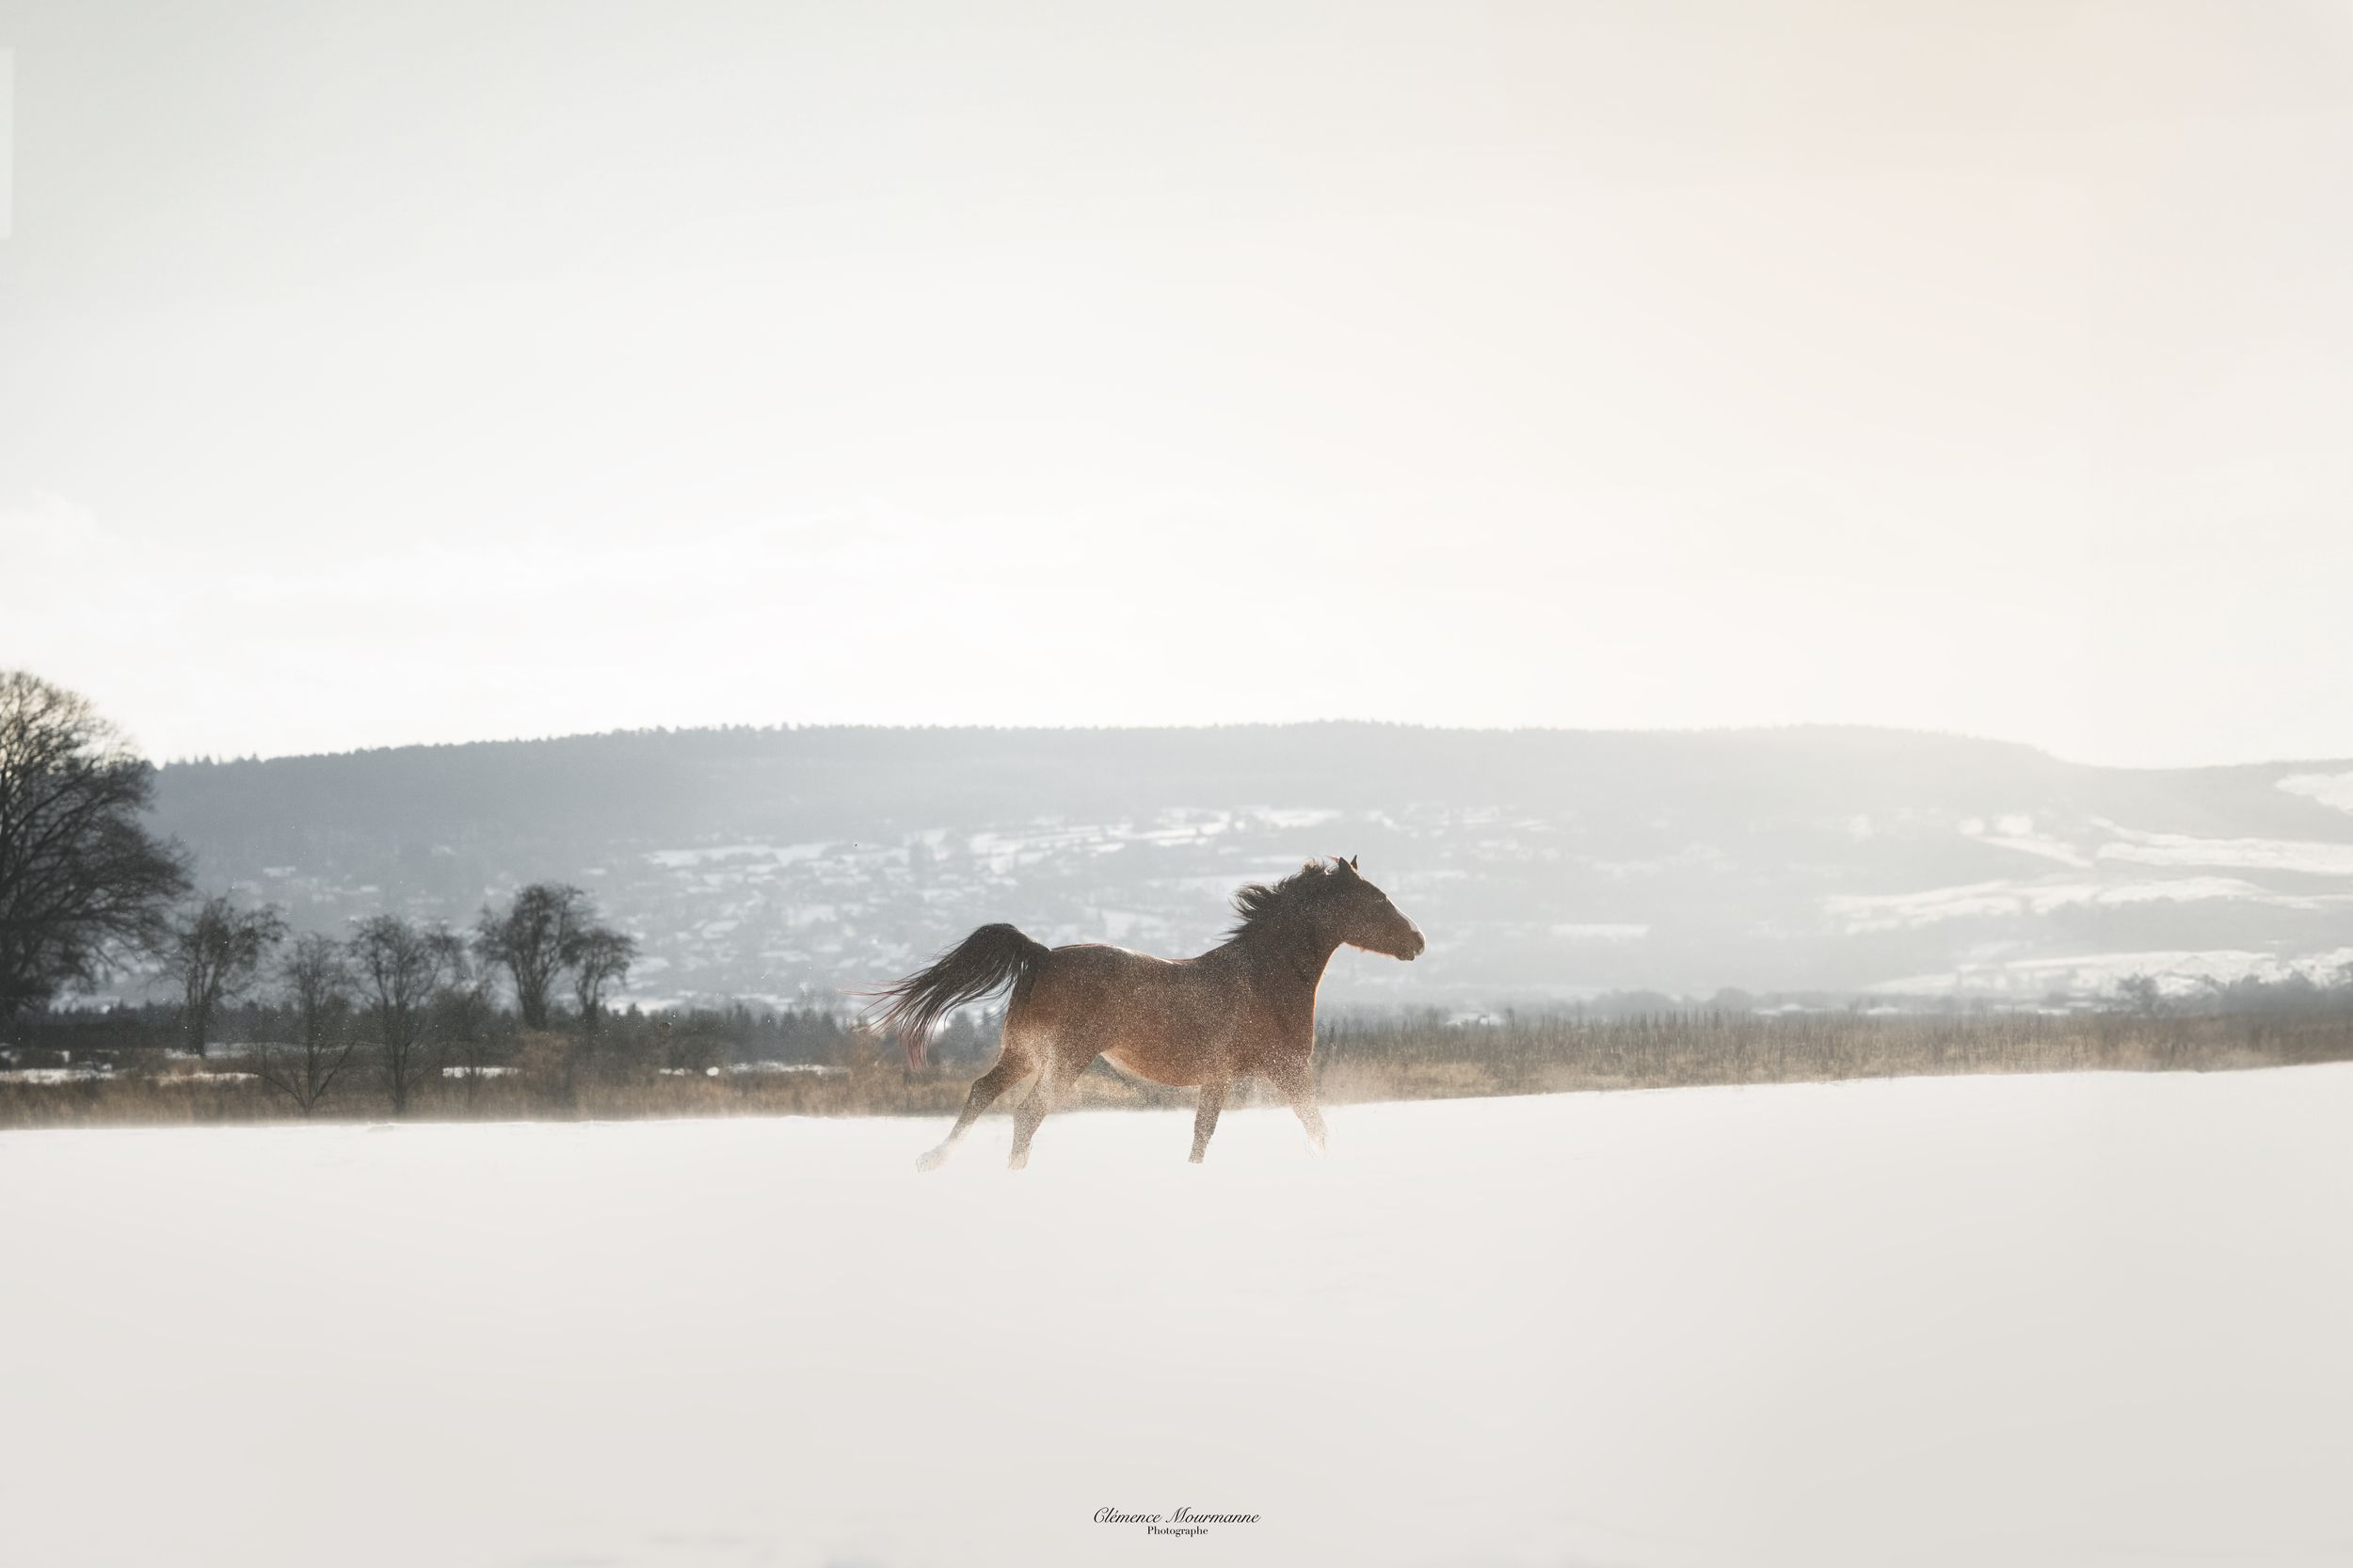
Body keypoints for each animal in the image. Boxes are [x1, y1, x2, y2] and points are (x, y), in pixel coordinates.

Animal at [867, 856, 1425, 1169]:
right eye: (1378, 899)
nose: (1418, 941)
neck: (1265, 976)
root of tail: (1042, 955)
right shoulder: (1287, 1069)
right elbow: (1315, 1127)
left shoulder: (1220, 1078)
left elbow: (1203, 1135)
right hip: (1064, 1058)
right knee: (1027, 1114)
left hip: (1025, 1052)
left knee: (983, 1093)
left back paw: (933, 1161)